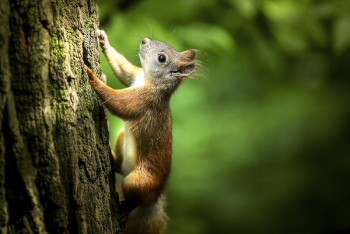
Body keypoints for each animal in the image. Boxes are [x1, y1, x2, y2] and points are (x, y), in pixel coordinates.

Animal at [86, 29, 198, 234]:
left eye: (162, 58)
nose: (144, 40)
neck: (150, 81)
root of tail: (154, 198)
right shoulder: (135, 76)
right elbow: (124, 71)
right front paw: (104, 41)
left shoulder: (144, 101)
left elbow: (117, 103)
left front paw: (92, 77)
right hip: (122, 139)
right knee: (119, 166)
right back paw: (112, 158)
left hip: (138, 182)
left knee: (136, 200)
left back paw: (126, 210)